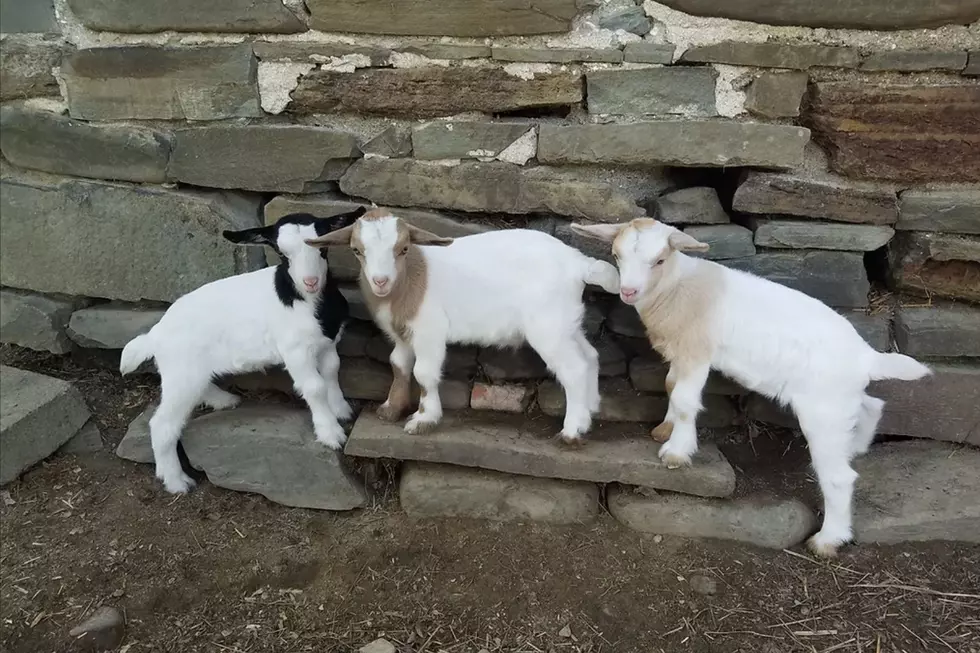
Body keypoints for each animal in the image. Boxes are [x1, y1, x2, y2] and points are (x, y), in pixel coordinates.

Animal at [120, 209, 366, 494]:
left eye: (323, 248)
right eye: (282, 254)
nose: (311, 282)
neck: (304, 299)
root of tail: (155, 334)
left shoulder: (328, 343)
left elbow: (332, 371)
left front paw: (341, 410)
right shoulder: (296, 351)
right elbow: (315, 387)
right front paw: (330, 433)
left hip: (189, 372)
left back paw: (224, 400)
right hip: (181, 372)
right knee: (162, 425)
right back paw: (176, 481)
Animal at [306, 208, 621, 441]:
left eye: (404, 248)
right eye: (356, 250)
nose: (380, 281)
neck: (409, 280)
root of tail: (579, 264)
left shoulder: (429, 331)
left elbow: (423, 373)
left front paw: (424, 419)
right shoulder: (403, 334)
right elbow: (398, 365)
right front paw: (390, 409)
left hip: (548, 326)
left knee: (573, 368)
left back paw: (572, 430)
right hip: (566, 322)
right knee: (590, 356)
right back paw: (590, 411)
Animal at [571, 218, 930, 557]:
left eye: (659, 260)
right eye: (616, 255)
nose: (628, 292)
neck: (676, 287)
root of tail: (866, 357)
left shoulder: (697, 353)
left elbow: (686, 399)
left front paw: (677, 452)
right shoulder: (681, 353)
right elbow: (671, 385)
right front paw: (665, 429)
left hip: (823, 412)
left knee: (840, 477)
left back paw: (828, 539)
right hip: (840, 399)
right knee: (871, 406)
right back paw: (856, 446)